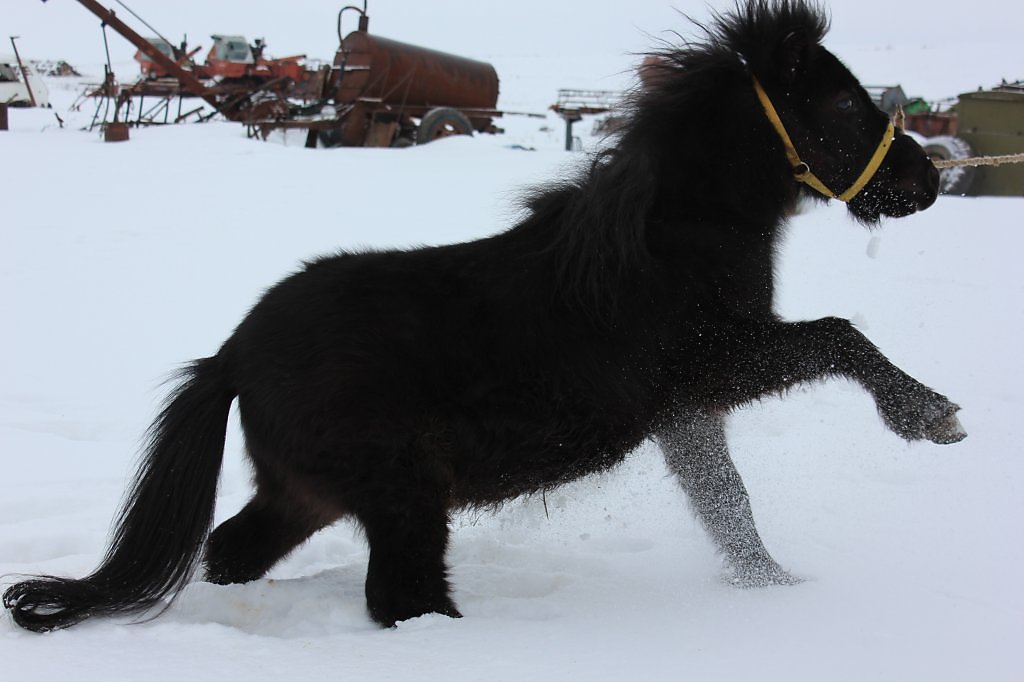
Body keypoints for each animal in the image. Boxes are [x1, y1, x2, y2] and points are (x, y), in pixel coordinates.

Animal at [2, 0, 958, 630]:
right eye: (843, 104)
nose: (927, 181)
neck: (661, 245)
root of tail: (231, 354)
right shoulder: (720, 365)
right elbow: (839, 335)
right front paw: (931, 417)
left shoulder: (690, 413)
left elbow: (729, 503)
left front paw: (776, 590)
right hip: (404, 497)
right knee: (399, 598)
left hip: (307, 493)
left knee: (234, 550)